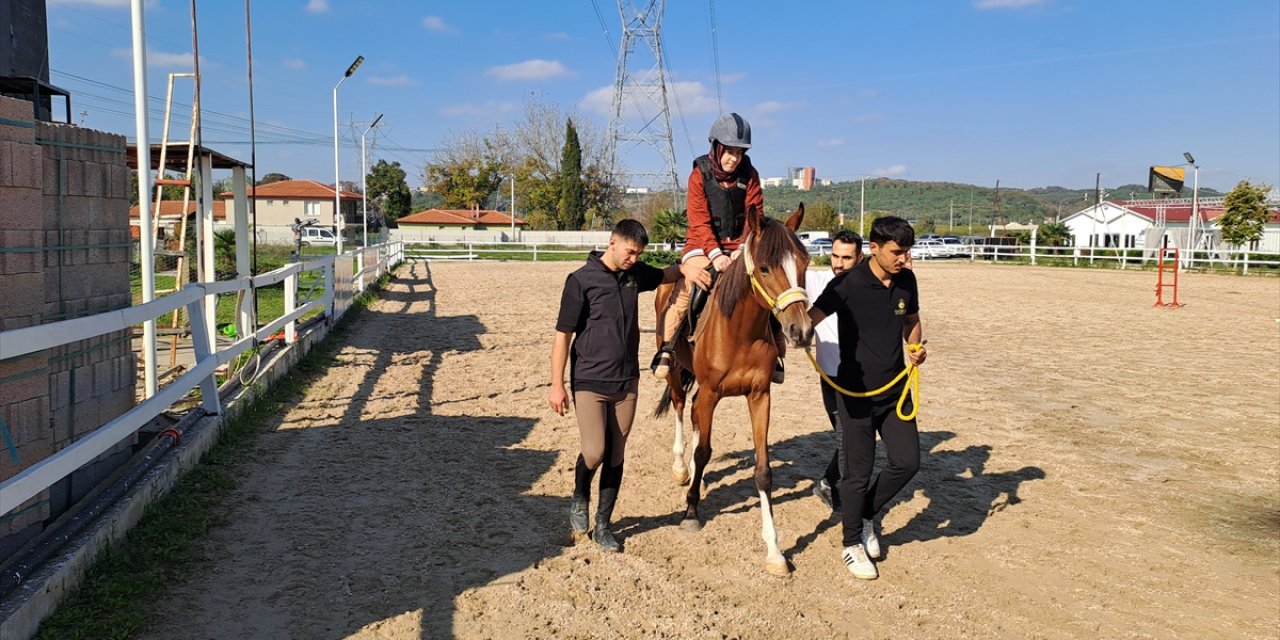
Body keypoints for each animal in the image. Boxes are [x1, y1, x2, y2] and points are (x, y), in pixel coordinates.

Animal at [655, 203, 814, 576]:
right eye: (765, 267)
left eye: (804, 263)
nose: (801, 331)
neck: (740, 331)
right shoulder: (712, 392)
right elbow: (703, 451)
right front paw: (691, 511)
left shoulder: (759, 396)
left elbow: (763, 470)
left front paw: (775, 551)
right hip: (676, 374)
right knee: (681, 408)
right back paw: (682, 469)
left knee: (694, 416)